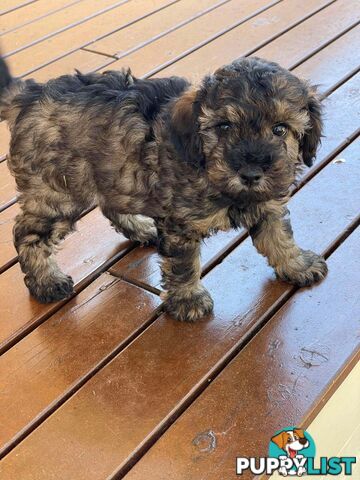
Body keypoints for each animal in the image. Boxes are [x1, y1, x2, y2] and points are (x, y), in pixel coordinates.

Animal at [0, 54, 326, 320]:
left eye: (280, 129)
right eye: (224, 126)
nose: (250, 173)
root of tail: (31, 96)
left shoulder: (267, 204)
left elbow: (280, 237)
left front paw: (297, 265)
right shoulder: (180, 224)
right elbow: (183, 264)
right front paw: (188, 299)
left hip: (113, 170)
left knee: (110, 203)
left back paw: (140, 228)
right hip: (58, 191)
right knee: (27, 234)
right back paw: (46, 281)